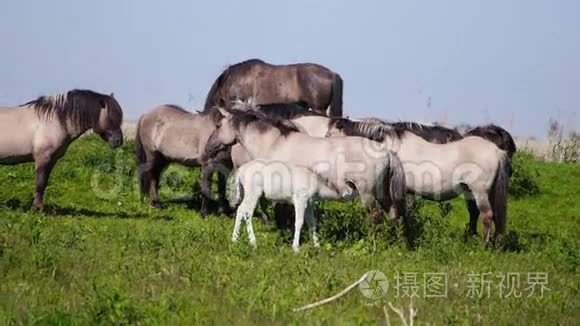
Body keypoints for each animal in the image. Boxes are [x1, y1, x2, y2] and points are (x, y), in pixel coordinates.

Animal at [204, 108, 408, 228]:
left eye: (218, 125)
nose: (208, 148)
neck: (273, 143)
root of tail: (386, 151)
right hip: (382, 193)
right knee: (392, 215)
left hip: (367, 194)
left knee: (375, 217)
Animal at [228, 159, 356, 251]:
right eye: (354, 190)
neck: (317, 184)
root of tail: (240, 171)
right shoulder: (300, 199)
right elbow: (299, 222)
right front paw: (296, 247)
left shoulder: (309, 202)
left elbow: (312, 222)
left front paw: (317, 245)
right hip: (253, 192)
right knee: (247, 212)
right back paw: (253, 242)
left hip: (245, 192)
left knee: (240, 209)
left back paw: (234, 239)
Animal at [328, 119, 510, 242]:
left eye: (329, 135)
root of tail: (497, 150)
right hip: (472, 192)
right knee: (481, 214)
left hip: (480, 192)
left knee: (487, 215)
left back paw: (485, 244)